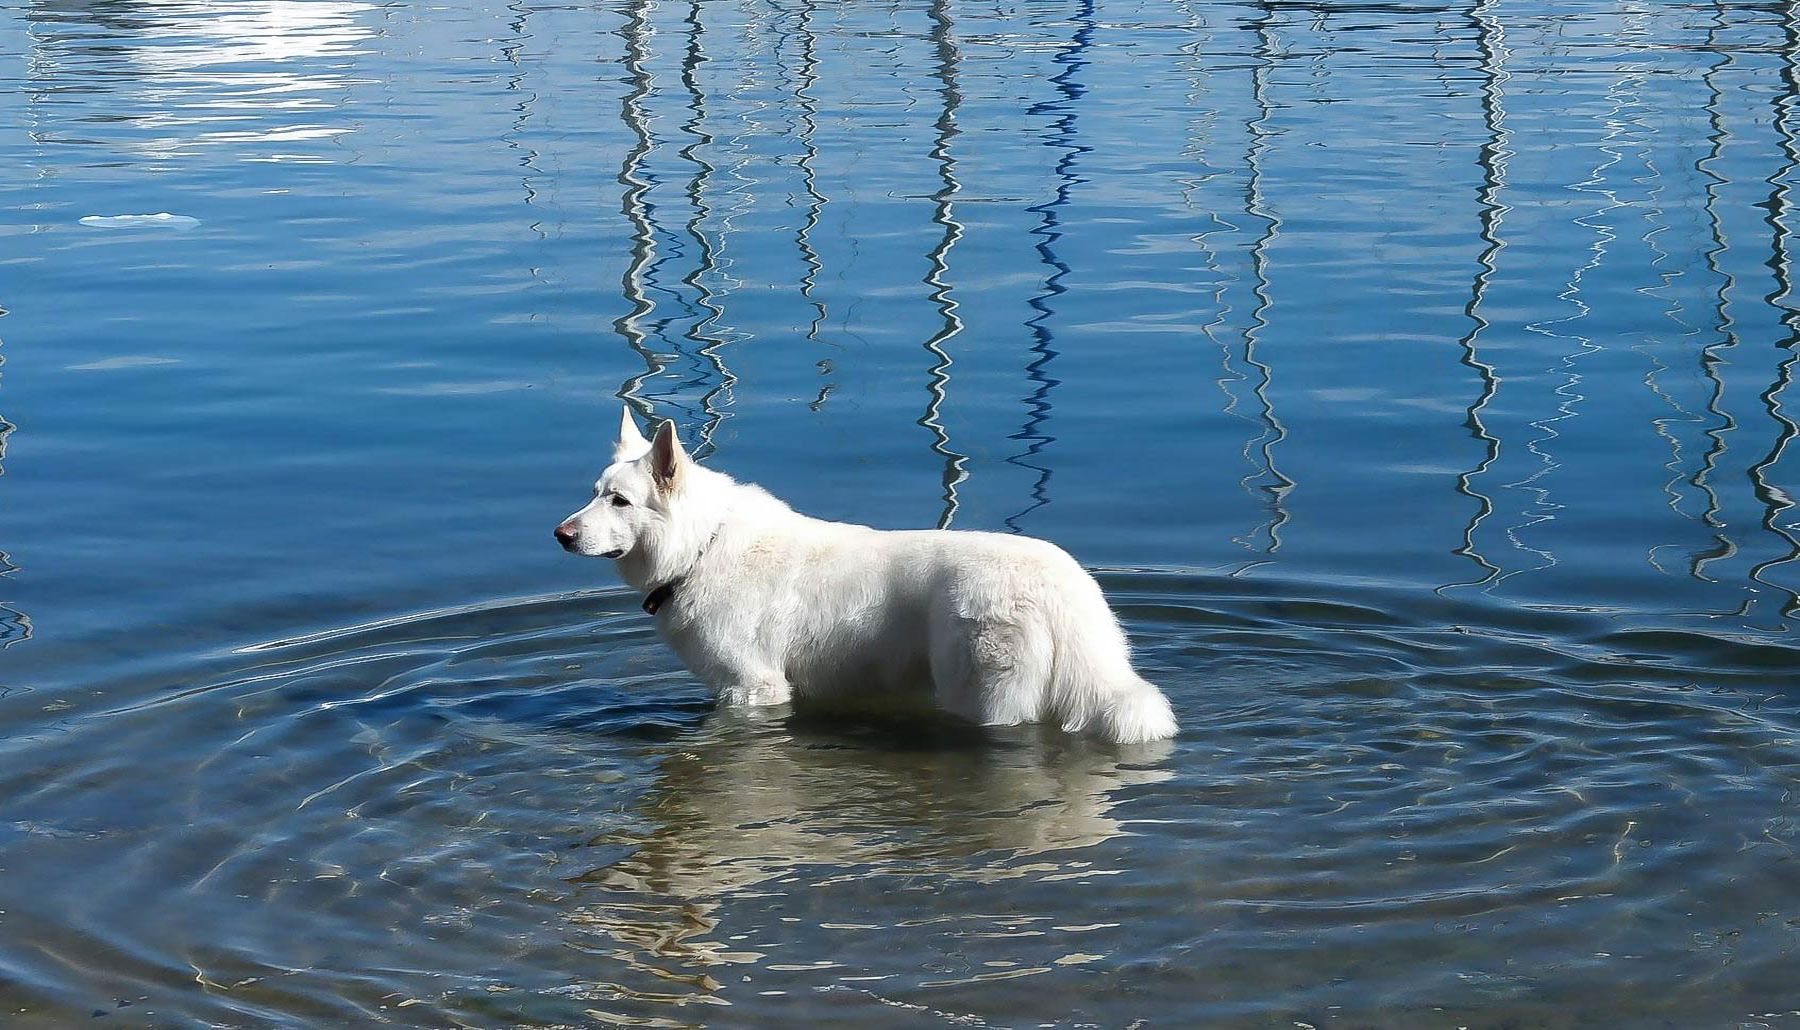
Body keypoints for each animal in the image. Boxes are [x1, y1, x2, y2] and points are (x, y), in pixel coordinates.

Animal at [561, 406, 1180, 745]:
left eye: (619, 501)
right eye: (594, 493)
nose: (561, 535)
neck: (700, 548)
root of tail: (1062, 588)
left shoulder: (752, 690)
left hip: (983, 698)